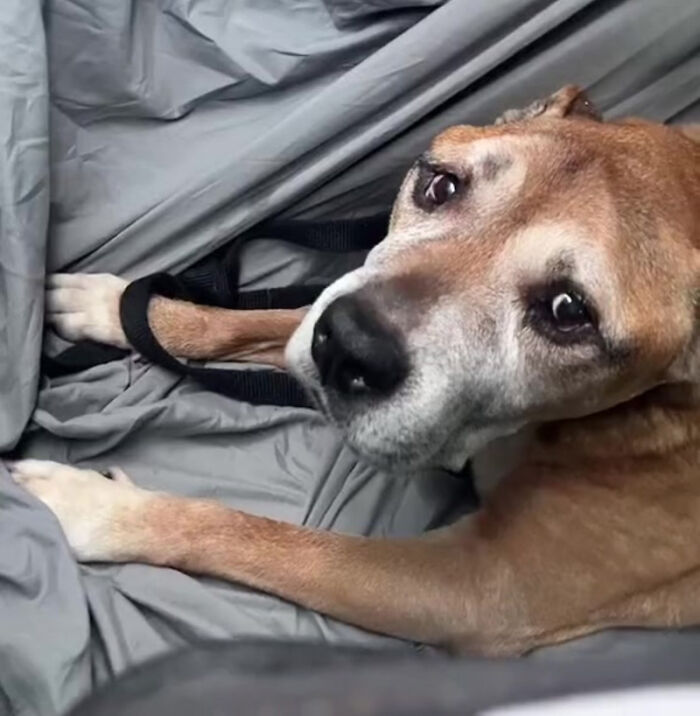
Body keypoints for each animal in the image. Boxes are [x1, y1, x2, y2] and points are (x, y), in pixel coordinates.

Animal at [9, 84, 700, 656]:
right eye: (440, 186)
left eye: (567, 311)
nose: (348, 345)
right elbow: (250, 321)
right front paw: (114, 306)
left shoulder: (476, 588)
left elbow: (255, 535)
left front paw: (96, 509)